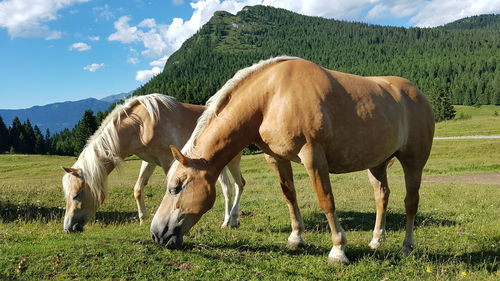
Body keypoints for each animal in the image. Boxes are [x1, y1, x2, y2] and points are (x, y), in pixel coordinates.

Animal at [61, 94, 245, 232]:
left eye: (76, 195)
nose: (68, 228)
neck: (142, 123)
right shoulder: (149, 161)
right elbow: (138, 189)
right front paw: (143, 219)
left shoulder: (168, 161)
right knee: (227, 188)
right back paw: (227, 221)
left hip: (232, 162)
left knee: (239, 184)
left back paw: (232, 220)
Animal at [149, 56, 434, 262]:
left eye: (176, 187)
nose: (156, 234)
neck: (272, 97)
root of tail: (417, 93)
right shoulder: (276, 158)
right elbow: (289, 196)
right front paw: (296, 239)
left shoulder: (313, 157)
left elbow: (326, 200)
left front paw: (338, 250)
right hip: (377, 164)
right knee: (381, 196)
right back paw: (376, 240)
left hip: (413, 162)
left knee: (411, 202)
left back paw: (406, 247)